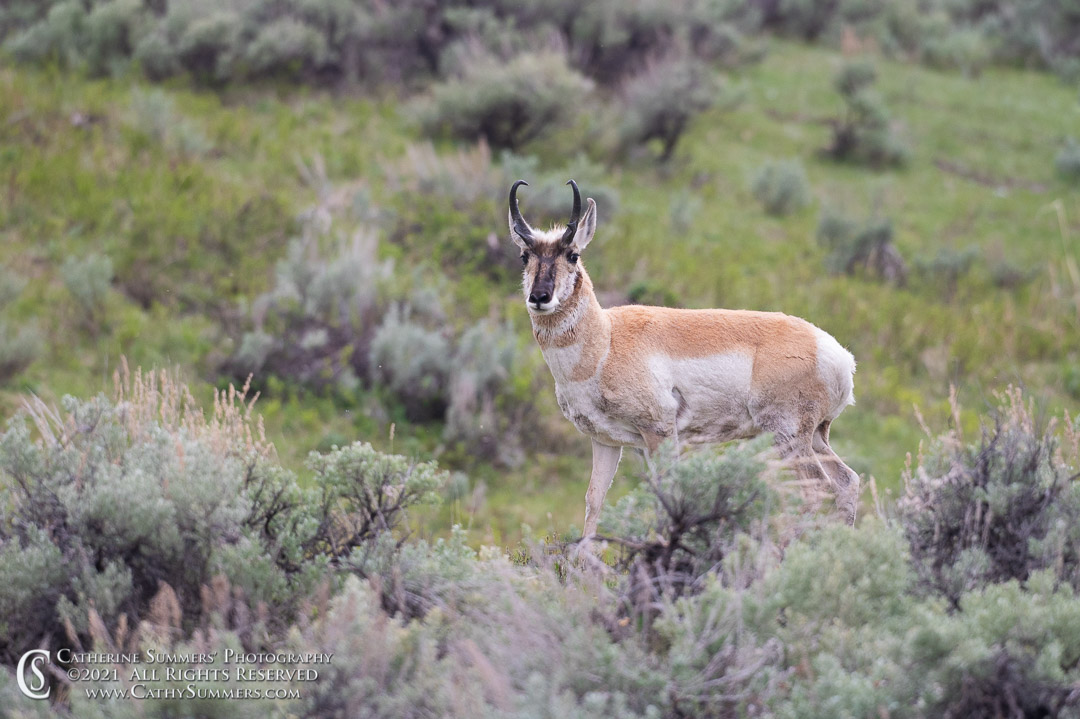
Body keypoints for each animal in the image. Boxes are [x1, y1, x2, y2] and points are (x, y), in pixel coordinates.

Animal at [508, 180, 861, 537]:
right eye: (524, 255)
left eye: (573, 254)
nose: (539, 297)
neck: (605, 340)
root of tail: (838, 355)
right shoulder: (605, 441)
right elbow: (594, 501)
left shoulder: (659, 435)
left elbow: (666, 494)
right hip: (814, 437)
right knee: (847, 482)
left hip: (788, 438)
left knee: (815, 492)